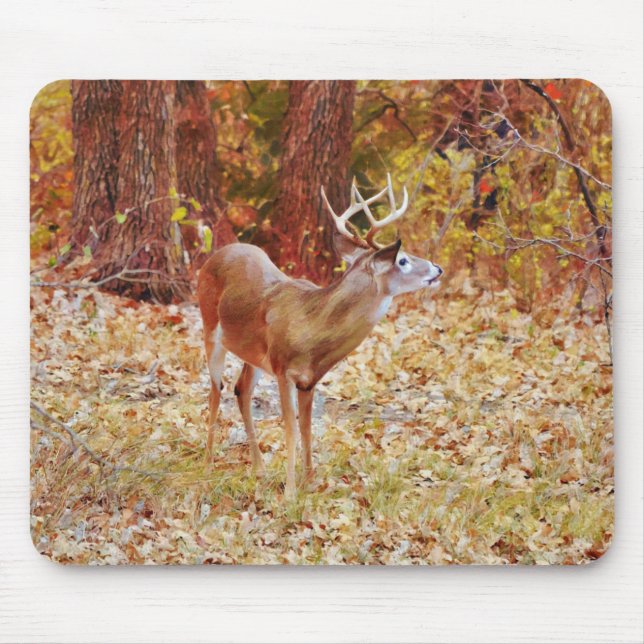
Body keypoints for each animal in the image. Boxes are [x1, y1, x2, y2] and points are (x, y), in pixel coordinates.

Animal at [197, 174, 443, 497]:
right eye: (402, 260)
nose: (437, 268)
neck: (312, 331)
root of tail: (214, 257)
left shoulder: (309, 380)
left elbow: (307, 428)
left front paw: (310, 483)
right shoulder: (282, 369)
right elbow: (290, 428)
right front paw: (290, 492)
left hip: (253, 354)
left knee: (241, 390)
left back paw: (259, 469)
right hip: (210, 329)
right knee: (216, 390)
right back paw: (208, 465)